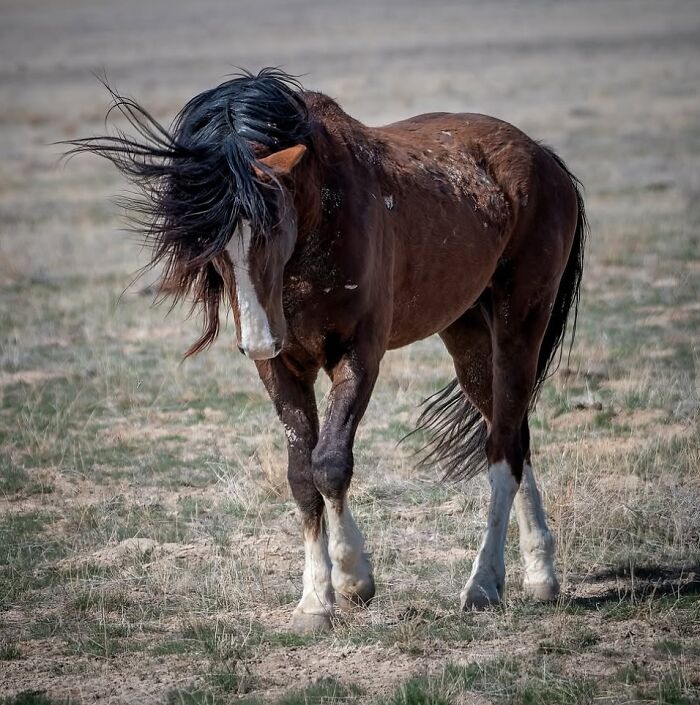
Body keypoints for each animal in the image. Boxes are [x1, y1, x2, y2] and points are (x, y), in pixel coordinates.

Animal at [65, 68, 587, 634]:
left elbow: (331, 463)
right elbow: (300, 474)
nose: (257, 339)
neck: (322, 220)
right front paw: (316, 601)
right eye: (211, 245)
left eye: (271, 227)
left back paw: (484, 585)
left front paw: (355, 579)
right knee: (513, 436)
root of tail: (542, 158)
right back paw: (539, 576)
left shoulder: (357, 357)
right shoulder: (282, 367)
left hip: (519, 325)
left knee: (502, 446)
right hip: (467, 336)